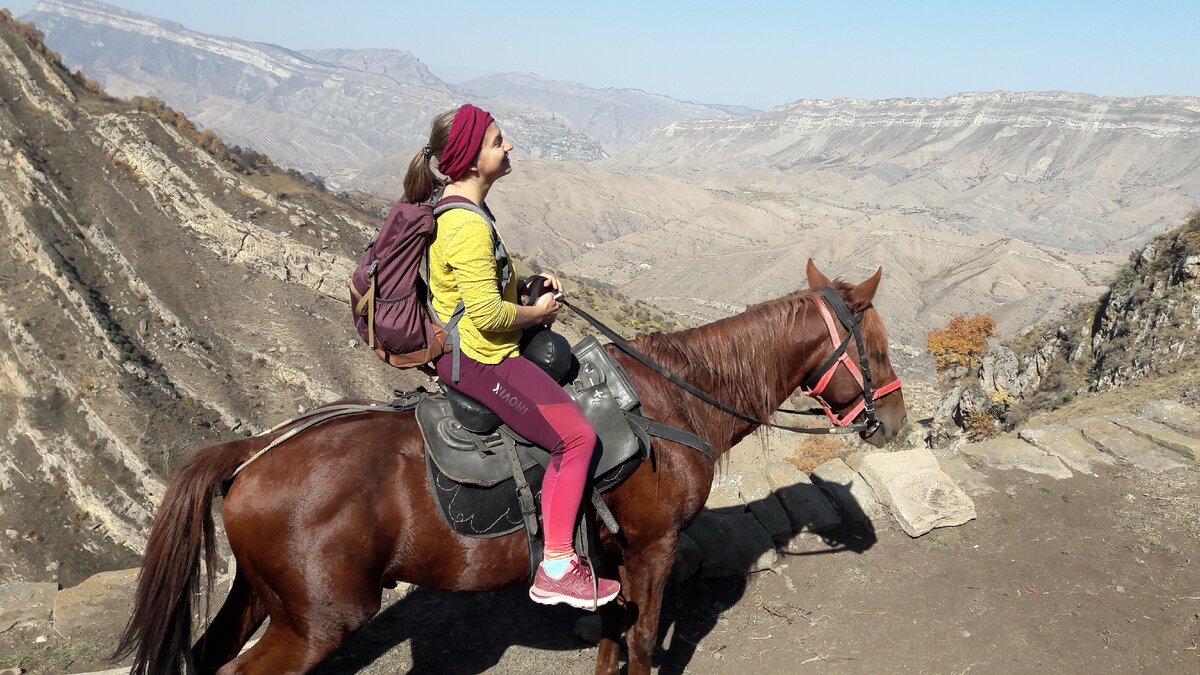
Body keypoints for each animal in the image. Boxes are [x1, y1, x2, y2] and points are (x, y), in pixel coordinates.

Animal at [114, 258, 907, 672]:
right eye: (878, 347)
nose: (895, 419)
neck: (671, 399)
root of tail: (257, 448)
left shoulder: (608, 552)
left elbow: (613, 637)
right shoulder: (653, 546)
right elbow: (641, 641)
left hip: (262, 595)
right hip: (317, 621)